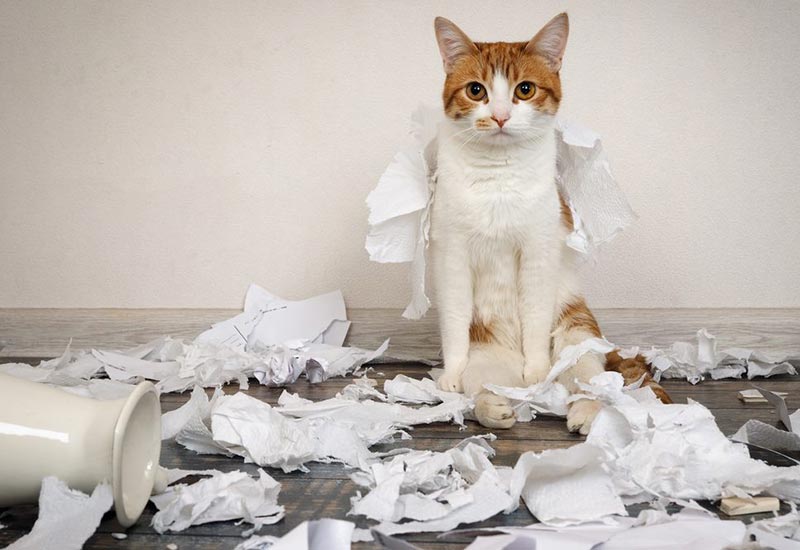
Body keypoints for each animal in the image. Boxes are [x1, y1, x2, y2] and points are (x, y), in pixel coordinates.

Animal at [432, 11, 668, 436]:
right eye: (476, 90)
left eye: (524, 90)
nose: (500, 116)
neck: (499, 177)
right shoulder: (452, 255)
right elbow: (455, 321)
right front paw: (451, 374)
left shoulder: (538, 253)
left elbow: (536, 316)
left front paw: (538, 368)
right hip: (488, 360)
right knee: (488, 388)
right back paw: (497, 406)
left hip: (578, 334)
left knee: (587, 382)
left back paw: (584, 411)